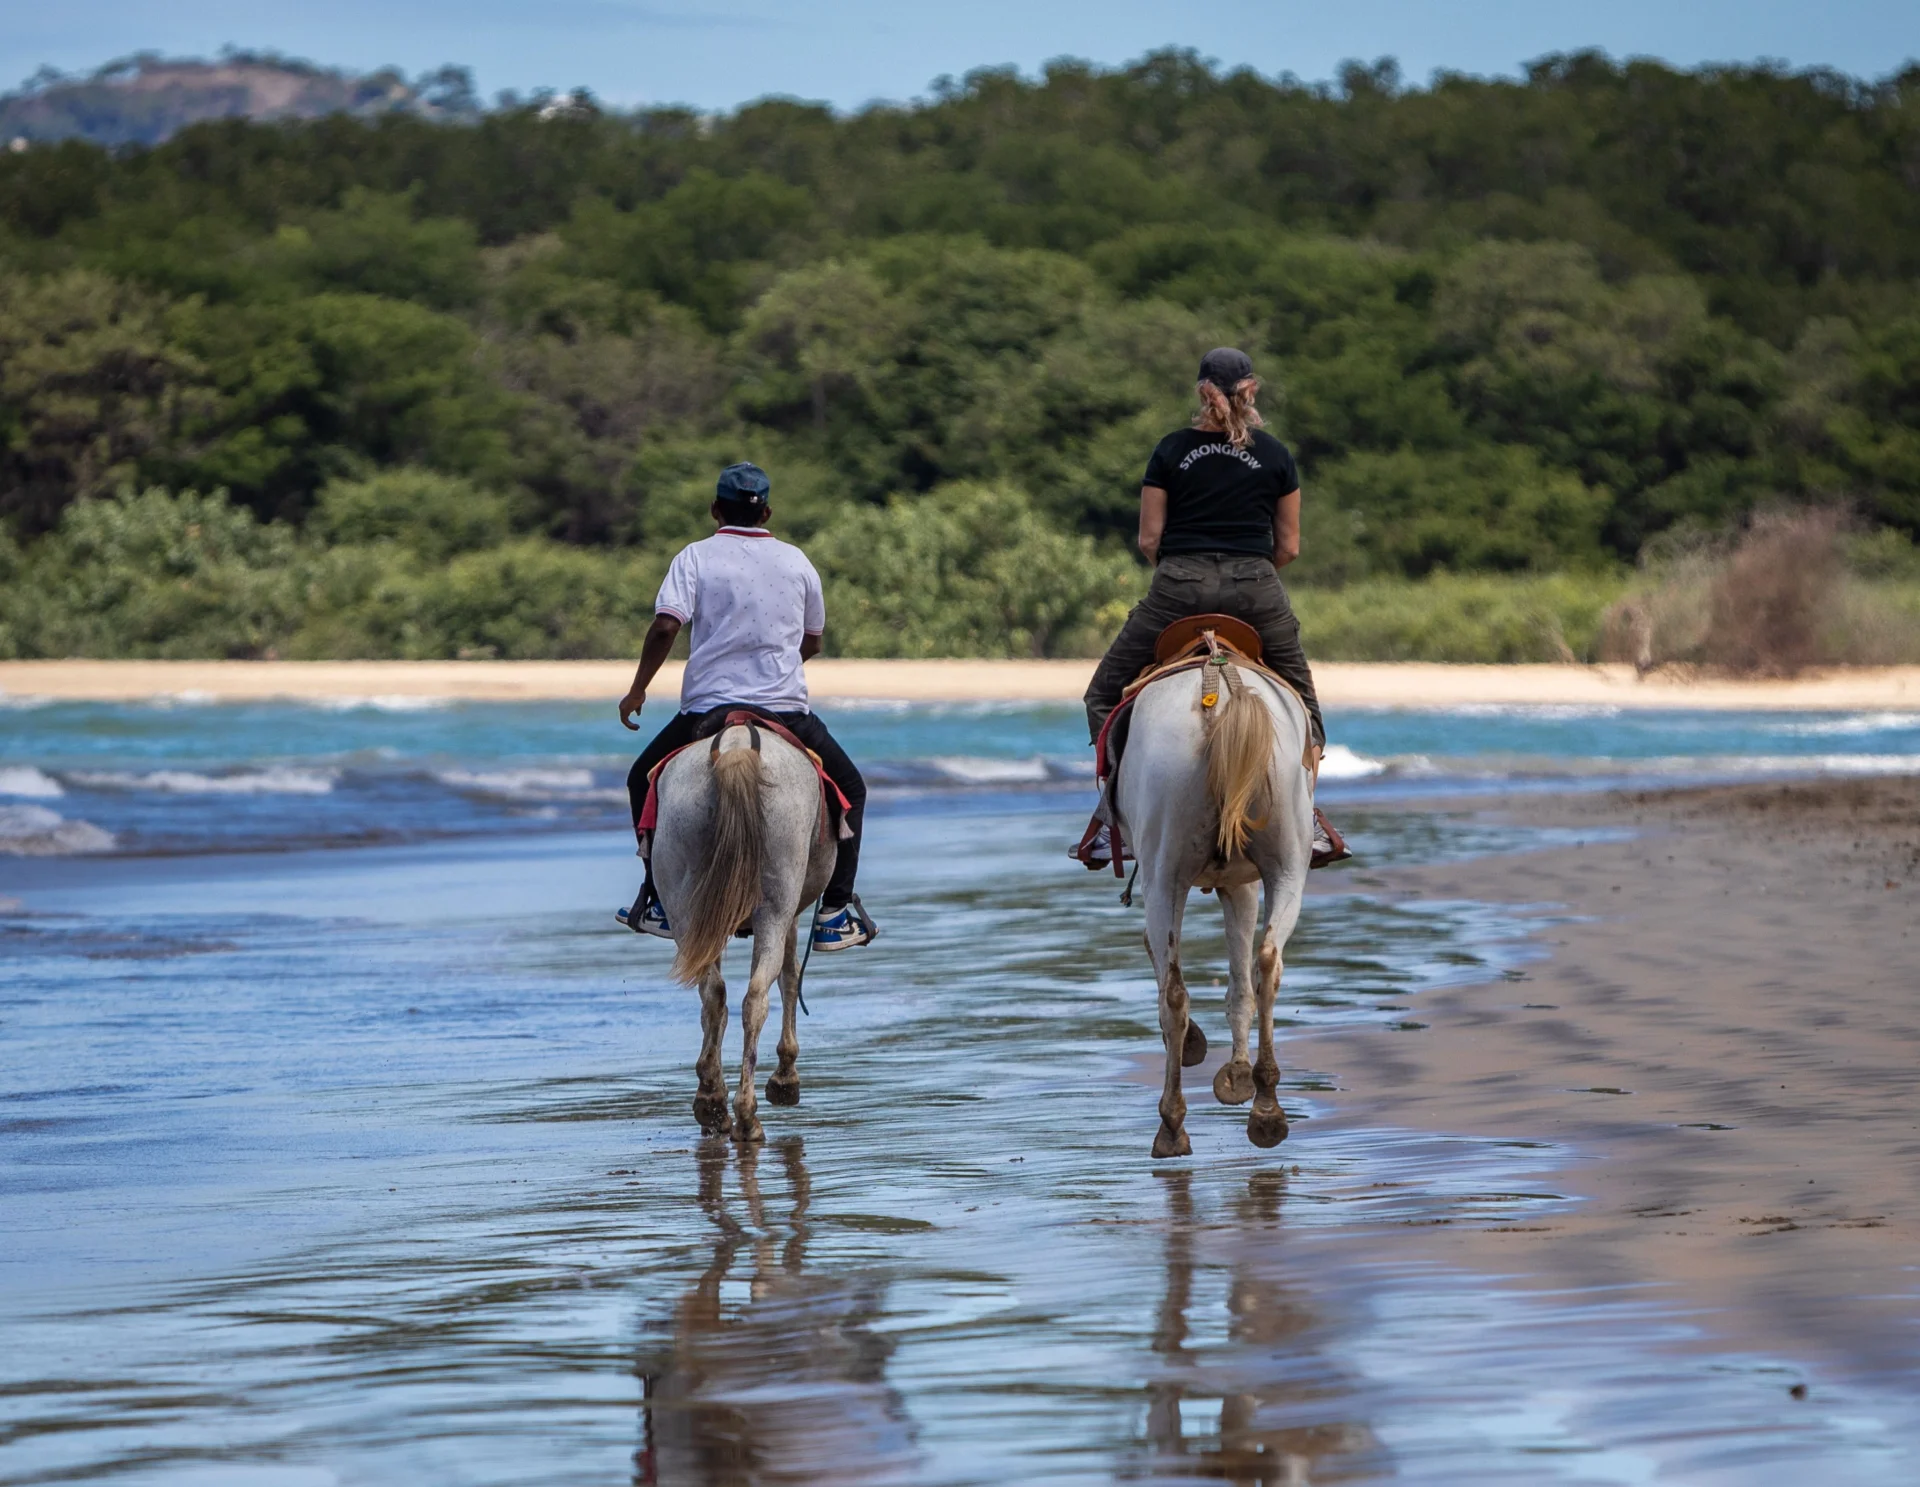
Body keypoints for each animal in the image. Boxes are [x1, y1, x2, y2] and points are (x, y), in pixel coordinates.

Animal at [650, 718, 836, 1143]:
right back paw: (748, 1115)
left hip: (685, 904)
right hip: (776, 904)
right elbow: (789, 978)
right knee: (756, 997)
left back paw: (712, 1102)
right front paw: (785, 1078)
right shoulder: (790, 915)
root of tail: (736, 746)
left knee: (713, 993)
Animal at [1112, 653, 1315, 1158]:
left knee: (1174, 991)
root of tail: (1219, 687)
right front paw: (1239, 1075)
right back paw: (1266, 1107)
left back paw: (1172, 1124)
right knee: (1267, 963)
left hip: (1164, 874)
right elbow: (1241, 981)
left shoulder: (1220, 883)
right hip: (1287, 868)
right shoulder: (1240, 882)